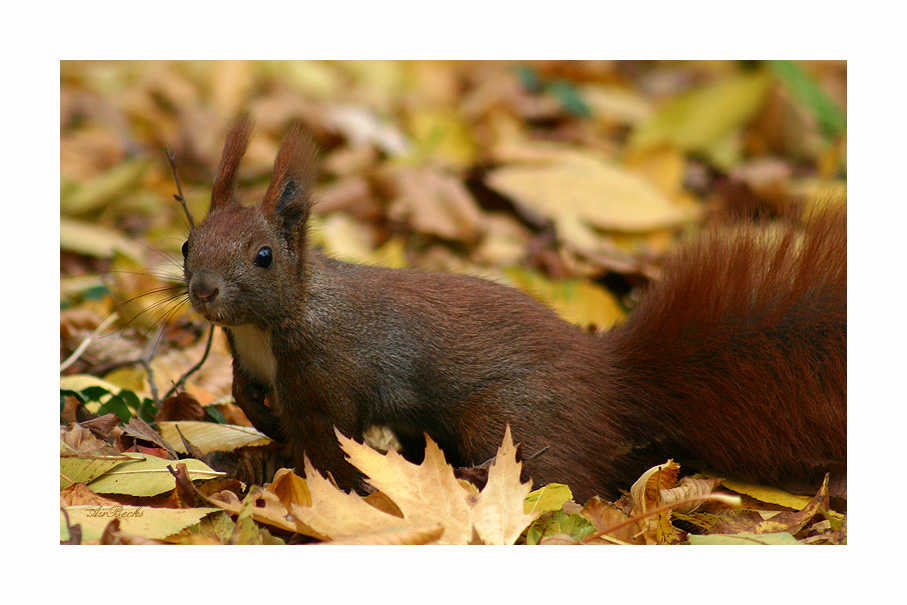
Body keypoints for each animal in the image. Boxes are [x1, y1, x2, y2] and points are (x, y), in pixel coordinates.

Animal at [181, 119, 848, 500]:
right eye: (188, 243)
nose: (204, 291)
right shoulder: (252, 361)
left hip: (508, 415)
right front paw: (261, 431)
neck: (276, 321)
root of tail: (612, 382)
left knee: (565, 479)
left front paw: (330, 486)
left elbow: (332, 444)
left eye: (264, 256)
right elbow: (249, 397)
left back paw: (475, 482)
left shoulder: (331, 375)